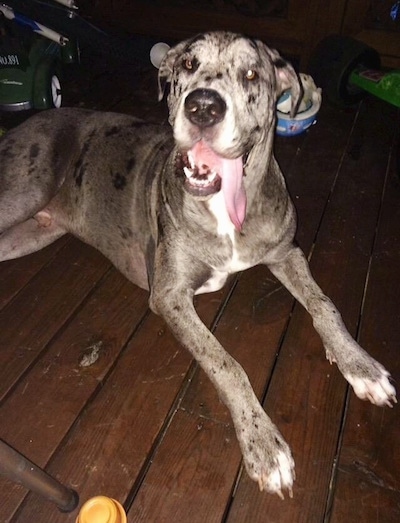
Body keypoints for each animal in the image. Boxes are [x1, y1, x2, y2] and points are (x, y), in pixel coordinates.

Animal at [0, 31, 396, 500]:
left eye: (252, 74)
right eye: (188, 64)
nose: (203, 106)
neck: (225, 208)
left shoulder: (288, 252)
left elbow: (324, 306)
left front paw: (360, 364)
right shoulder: (169, 296)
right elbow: (226, 364)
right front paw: (263, 445)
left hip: (28, 233)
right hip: (25, 191)